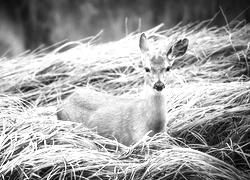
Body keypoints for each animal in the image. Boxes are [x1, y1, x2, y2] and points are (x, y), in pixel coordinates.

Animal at [56, 33, 188, 146]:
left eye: (168, 68)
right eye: (146, 68)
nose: (159, 84)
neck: (153, 127)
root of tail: (61, 104)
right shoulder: (132, 141)